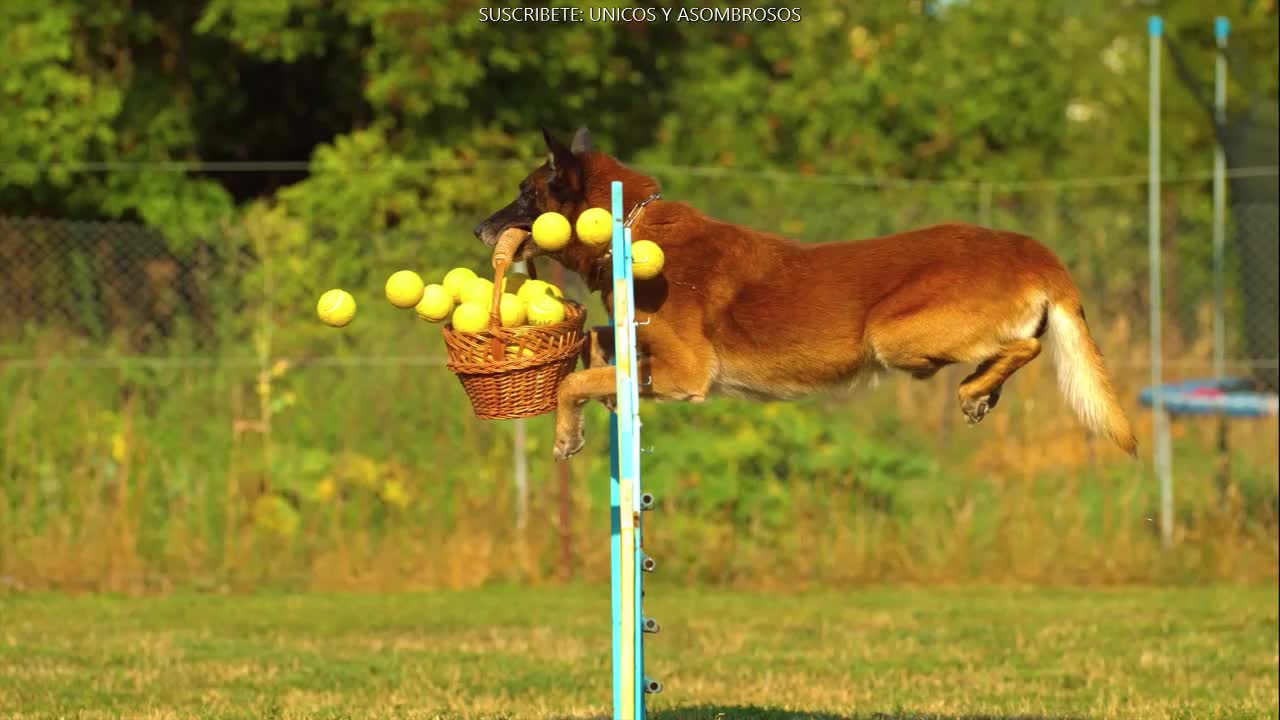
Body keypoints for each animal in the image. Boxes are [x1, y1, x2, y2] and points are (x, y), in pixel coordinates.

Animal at [476, 128, 1136, 458]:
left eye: (527, 193)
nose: (480, 229)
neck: (631, 225)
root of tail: (1033, 250)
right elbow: (593, 346)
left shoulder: (685, 373)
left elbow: (571, 383)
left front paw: (566, 434)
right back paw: (984, 391)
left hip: (891, 334)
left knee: (1025, 345)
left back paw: (976, 390)